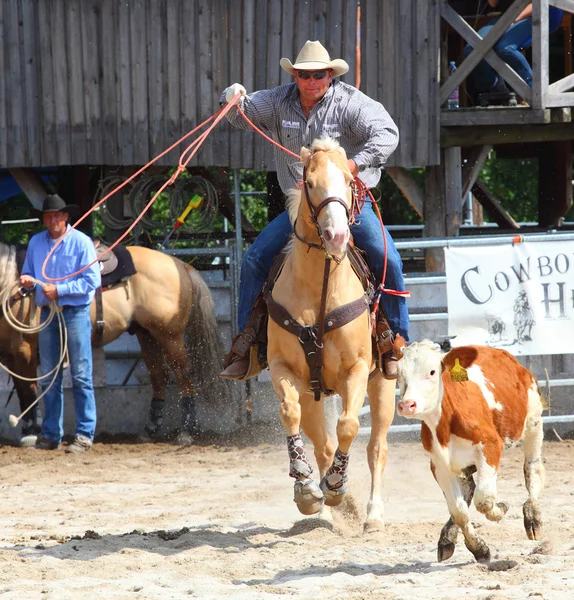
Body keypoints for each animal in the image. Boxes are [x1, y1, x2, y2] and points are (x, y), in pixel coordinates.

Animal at [0, 241, 224, 442]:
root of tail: (180, 264)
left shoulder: (25, 350)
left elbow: (28, 390)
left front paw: (32, 431)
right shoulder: (11, 355)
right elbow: (21, 389)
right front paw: (27, 429)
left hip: (170, 336)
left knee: (183, 373)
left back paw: (186, 431)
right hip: (147, 334)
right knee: (159, 375)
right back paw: (150, 429)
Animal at [268, 136, 398, 528]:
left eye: (347, 181)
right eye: (310, 183)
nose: (337, 235)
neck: (319, 289)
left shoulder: (356, 370)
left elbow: (348, 426)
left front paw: (337, 486)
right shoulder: (283, 368)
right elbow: (290, 414)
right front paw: (307, 489)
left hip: (382, 383)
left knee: (376, 446)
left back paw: (372, 513)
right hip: (315, 393)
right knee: (321, 442)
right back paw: (324, 505)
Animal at [394, 340, 548, 564]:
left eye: (432, 371)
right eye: (398, 372)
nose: (407, 405)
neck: (445, 424)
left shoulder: (490, 446)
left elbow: (485, 499)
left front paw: (500, 509)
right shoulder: (439, 465)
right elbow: (460, 512)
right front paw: (479, 548)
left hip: (533, 422)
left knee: (532, 469)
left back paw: (533, 517)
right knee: (468, 490)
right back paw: (447, 538)